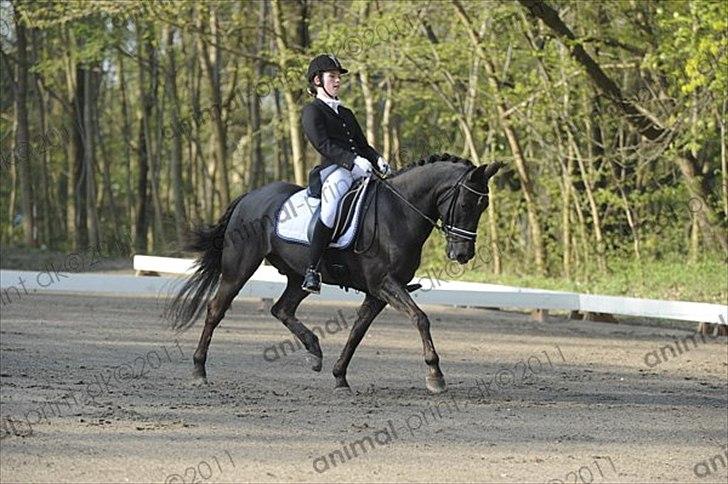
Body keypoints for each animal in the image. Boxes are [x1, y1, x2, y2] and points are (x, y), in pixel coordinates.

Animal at [166, 153, 502, 394]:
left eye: (484, 206)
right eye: (467, 203)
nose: (462, 254)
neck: (398, 212)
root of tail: (249, 197)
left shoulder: (378, 292)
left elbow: (357, 332)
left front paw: (340, 376)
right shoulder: (384, 284)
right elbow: (420, 318)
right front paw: (435, 375)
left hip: (298, 276)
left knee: (281, 308)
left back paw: (314, 351)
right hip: (239, 269)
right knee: (215, 310)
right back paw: (199, 370)